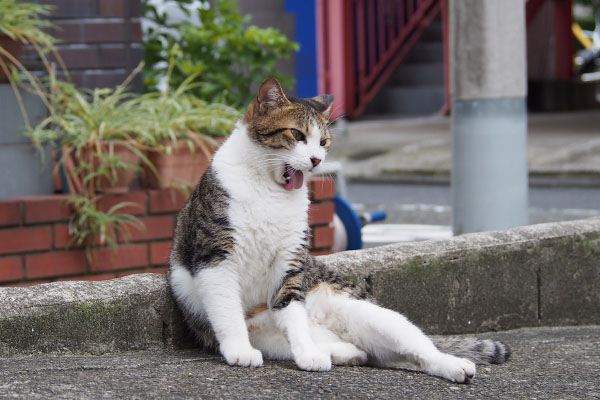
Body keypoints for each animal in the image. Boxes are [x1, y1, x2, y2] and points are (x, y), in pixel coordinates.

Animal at [166, 76, 508, 382]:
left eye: (323, 143)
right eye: (296, 134)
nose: (316, 160)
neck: (269, 189)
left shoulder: (289, 262)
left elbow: (293, 314)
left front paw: (307, 355)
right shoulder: (216, 256)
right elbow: (227, 312)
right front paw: (239, 350)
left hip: (374, 316)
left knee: (417, 350)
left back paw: (452, 365)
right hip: (270, 336)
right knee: (366, 352)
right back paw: (346, 353)